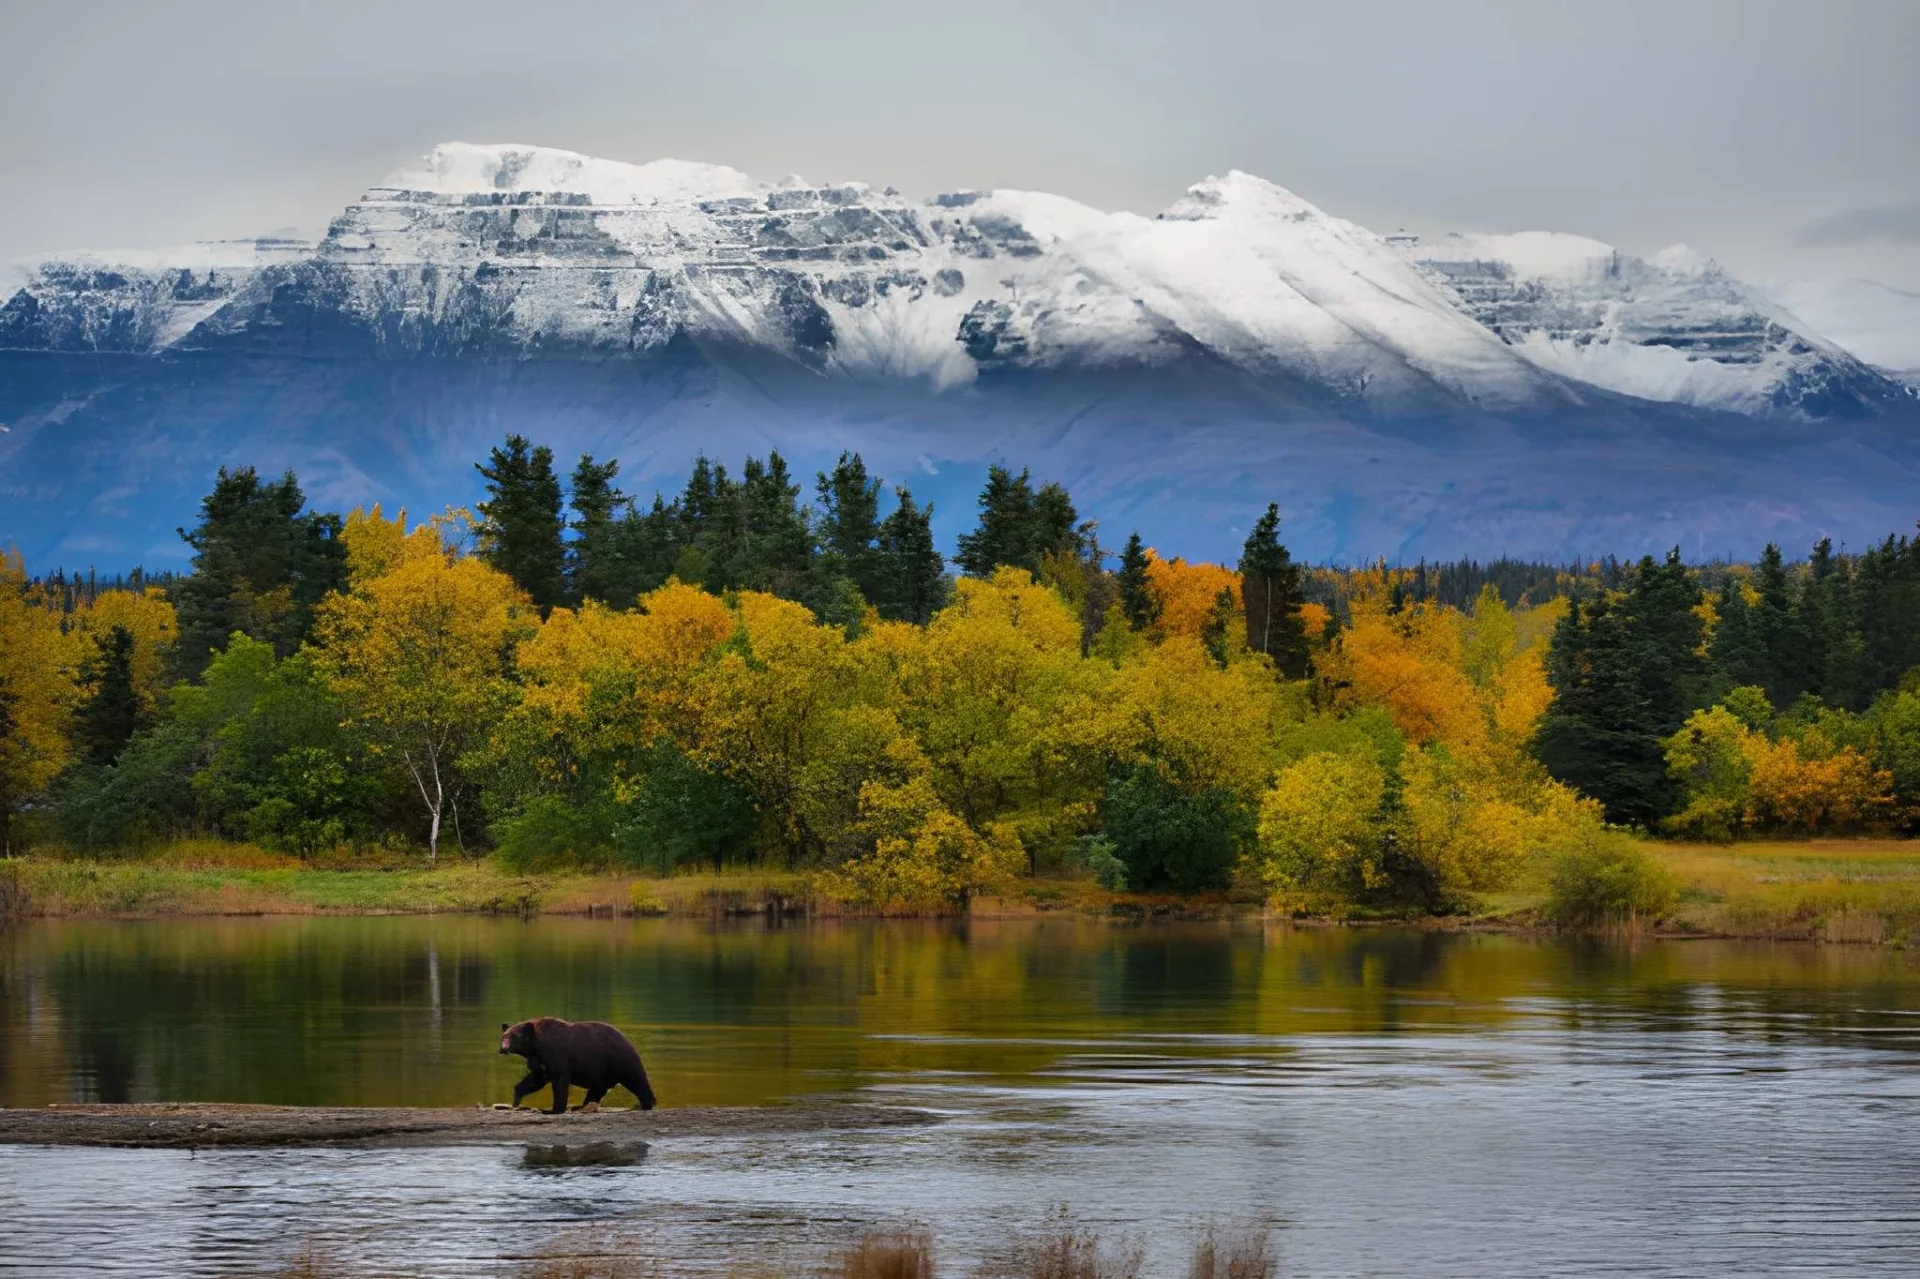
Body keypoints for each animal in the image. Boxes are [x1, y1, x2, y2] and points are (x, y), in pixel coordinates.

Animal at [499, 1017, 658, 1115]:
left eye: (513, 1036)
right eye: (504, 1035)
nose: (503, 1048)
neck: (536, 1046)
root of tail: (628, 1041)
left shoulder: (557, 1054)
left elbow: (560, 1081)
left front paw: (553, 1109)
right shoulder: (540, 1061)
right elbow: (535, 1079)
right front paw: (516, 1098)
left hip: (620, 1060)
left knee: (637, 1080)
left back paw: (647, 1104)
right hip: (605, 1070)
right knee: (597, 1089)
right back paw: (581, 1106)